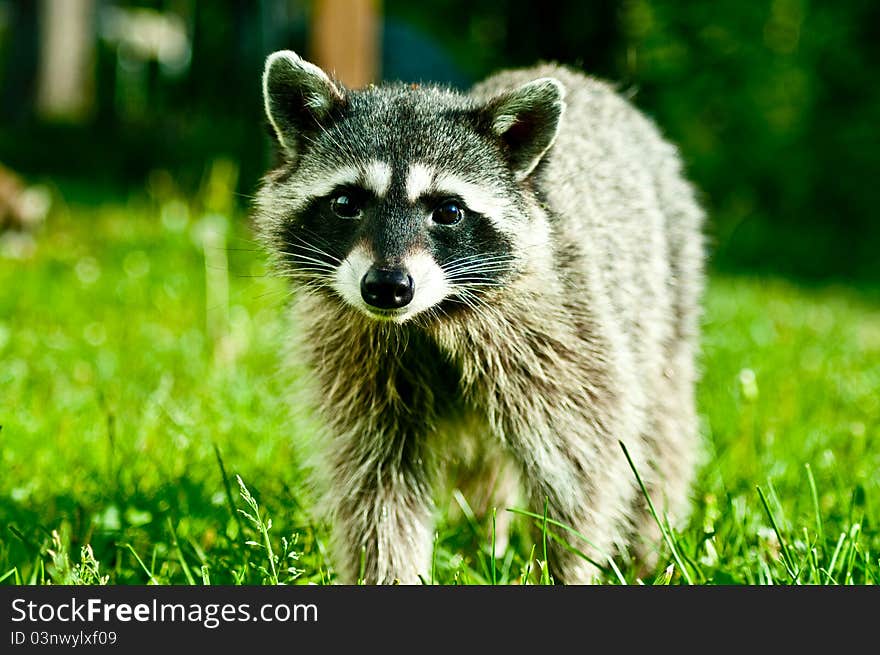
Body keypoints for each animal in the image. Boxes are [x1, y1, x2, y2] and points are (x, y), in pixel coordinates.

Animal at [251, 51, 704, 584]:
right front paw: (388, 569)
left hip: (672, 280)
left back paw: (649, 545)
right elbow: (376, 480)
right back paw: (483, 540)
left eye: (448, 211)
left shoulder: (562, 332)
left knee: (662, 429)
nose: (388, 287)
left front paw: (568, 564)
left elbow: (584, 459)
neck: (426, 318)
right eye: (346, 203)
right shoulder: (359, 360)